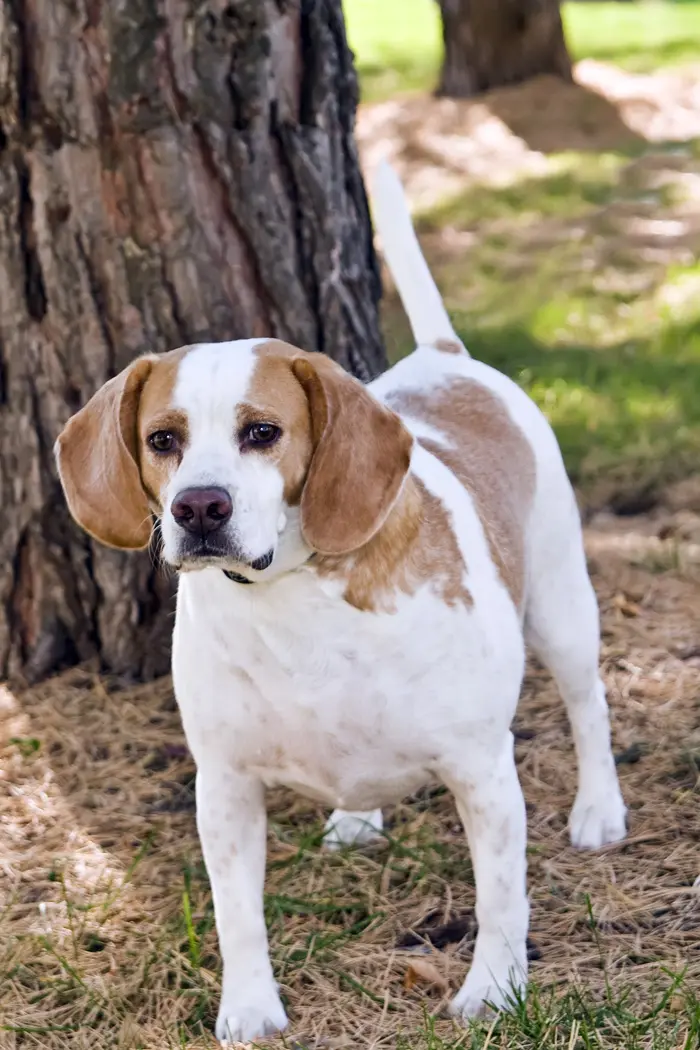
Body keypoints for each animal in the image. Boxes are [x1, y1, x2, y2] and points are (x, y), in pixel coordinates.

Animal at [53, 161, 625, 1041]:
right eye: (162, 439)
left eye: (262, 432)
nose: (199, 508)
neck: (293, 601)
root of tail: (445, 356)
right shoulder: (223, 785)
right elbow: (237, 915)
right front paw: (250, 1007)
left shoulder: (484, 774)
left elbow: (500, 900)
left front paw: (494, 993)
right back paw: (357, 819)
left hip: (563, 609)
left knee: (588, 702)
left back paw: (599, 808)